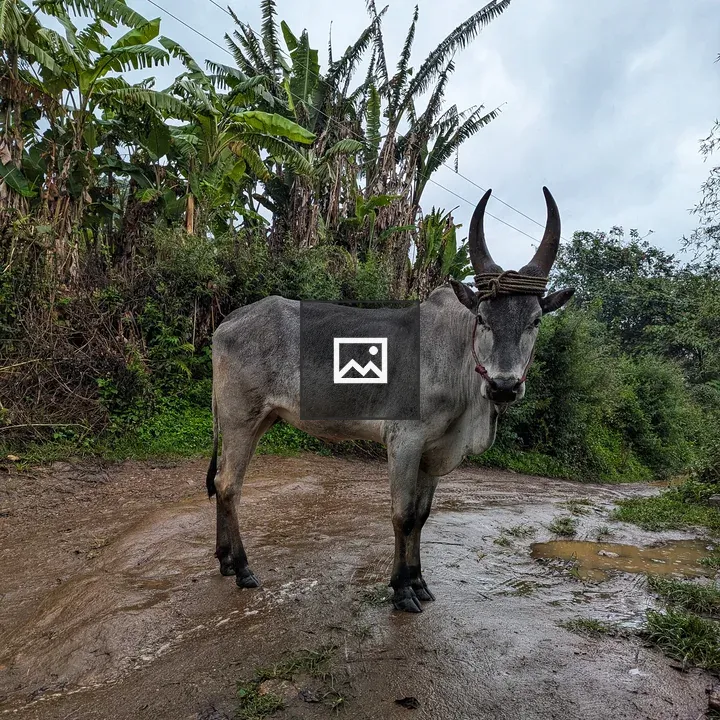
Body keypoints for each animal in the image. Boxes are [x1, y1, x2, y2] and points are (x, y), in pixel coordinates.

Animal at [205, 187, 575, 613]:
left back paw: (225, 560)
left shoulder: (435, 452)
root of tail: (226, 322)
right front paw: (401, 589)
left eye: (536, 320)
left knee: (221, 480)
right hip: (240, 418)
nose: (504, 387)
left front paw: (419, 582)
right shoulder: (404, 441)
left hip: (258, 420)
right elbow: (403, 515)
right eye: (482, 317)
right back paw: (243, 568)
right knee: (228, 484)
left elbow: (422, 516)